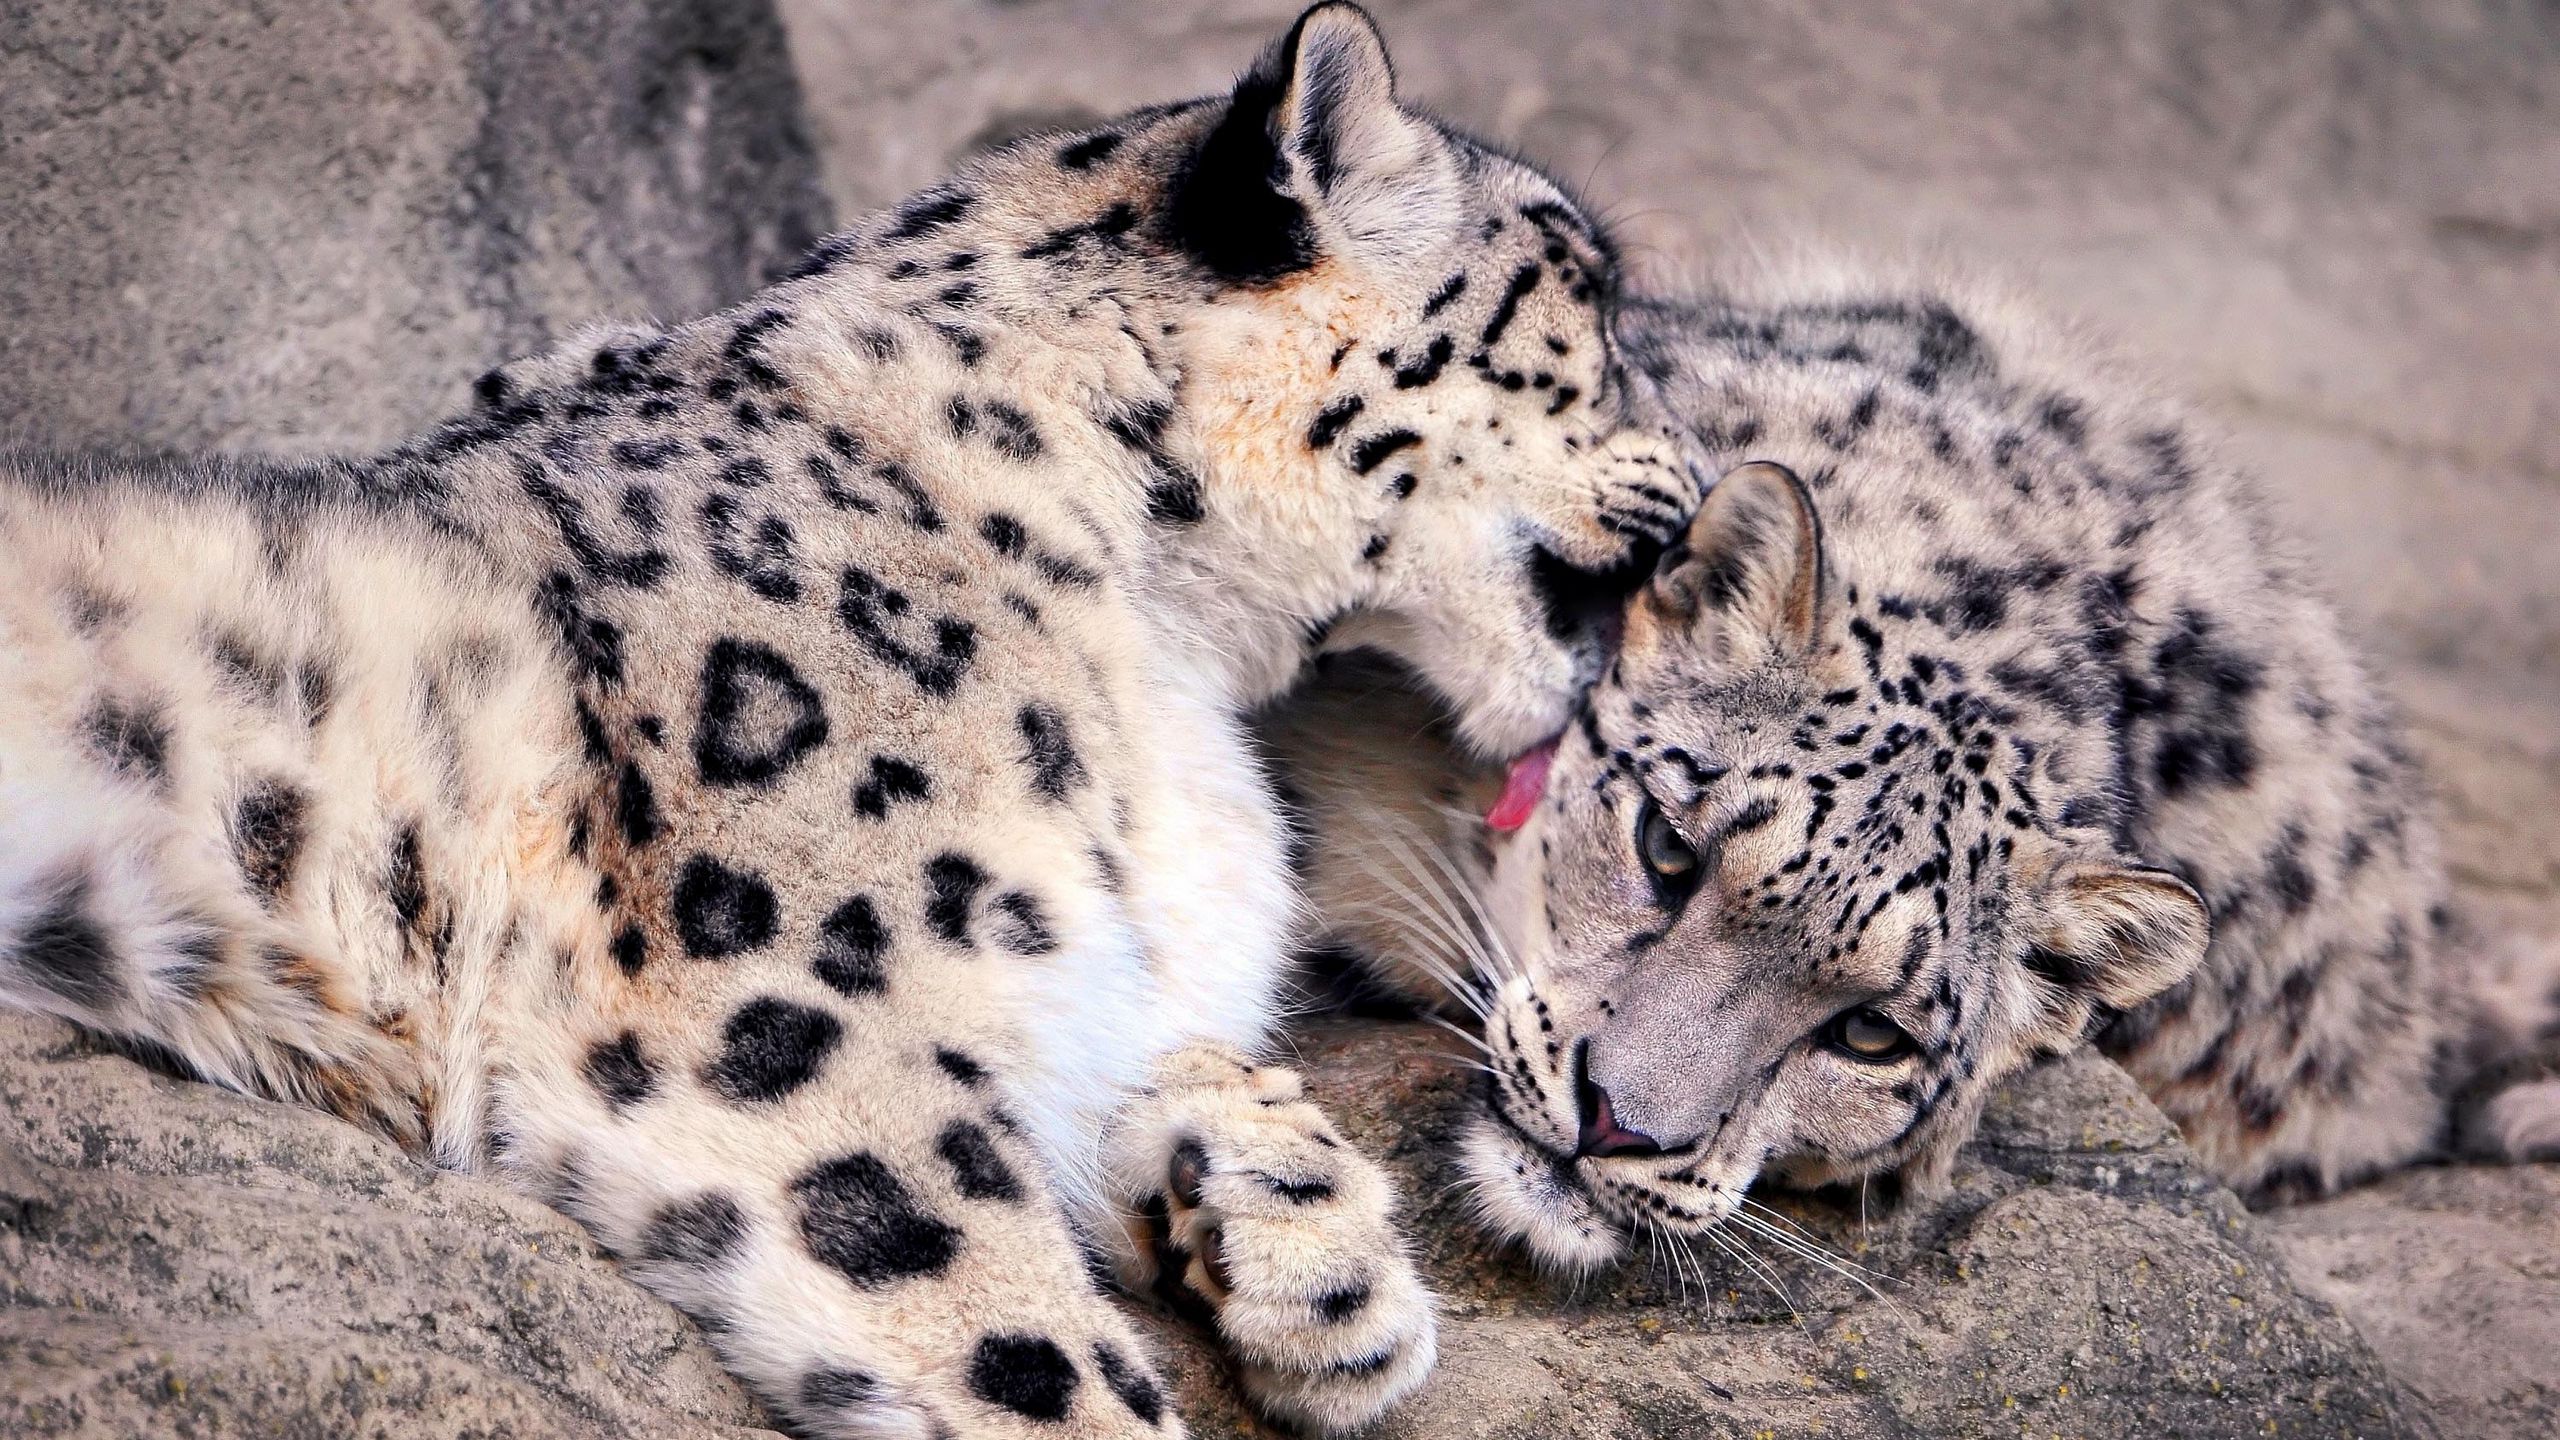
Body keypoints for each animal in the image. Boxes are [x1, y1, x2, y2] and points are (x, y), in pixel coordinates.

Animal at [5, 8, 1720, 1424]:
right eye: (1586, 295)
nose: (1707, 482)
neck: (1174, 659)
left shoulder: (1067, 981)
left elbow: (1158, 1051)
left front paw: (1326, 1259)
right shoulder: (795, 1018)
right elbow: (1022, 1340)